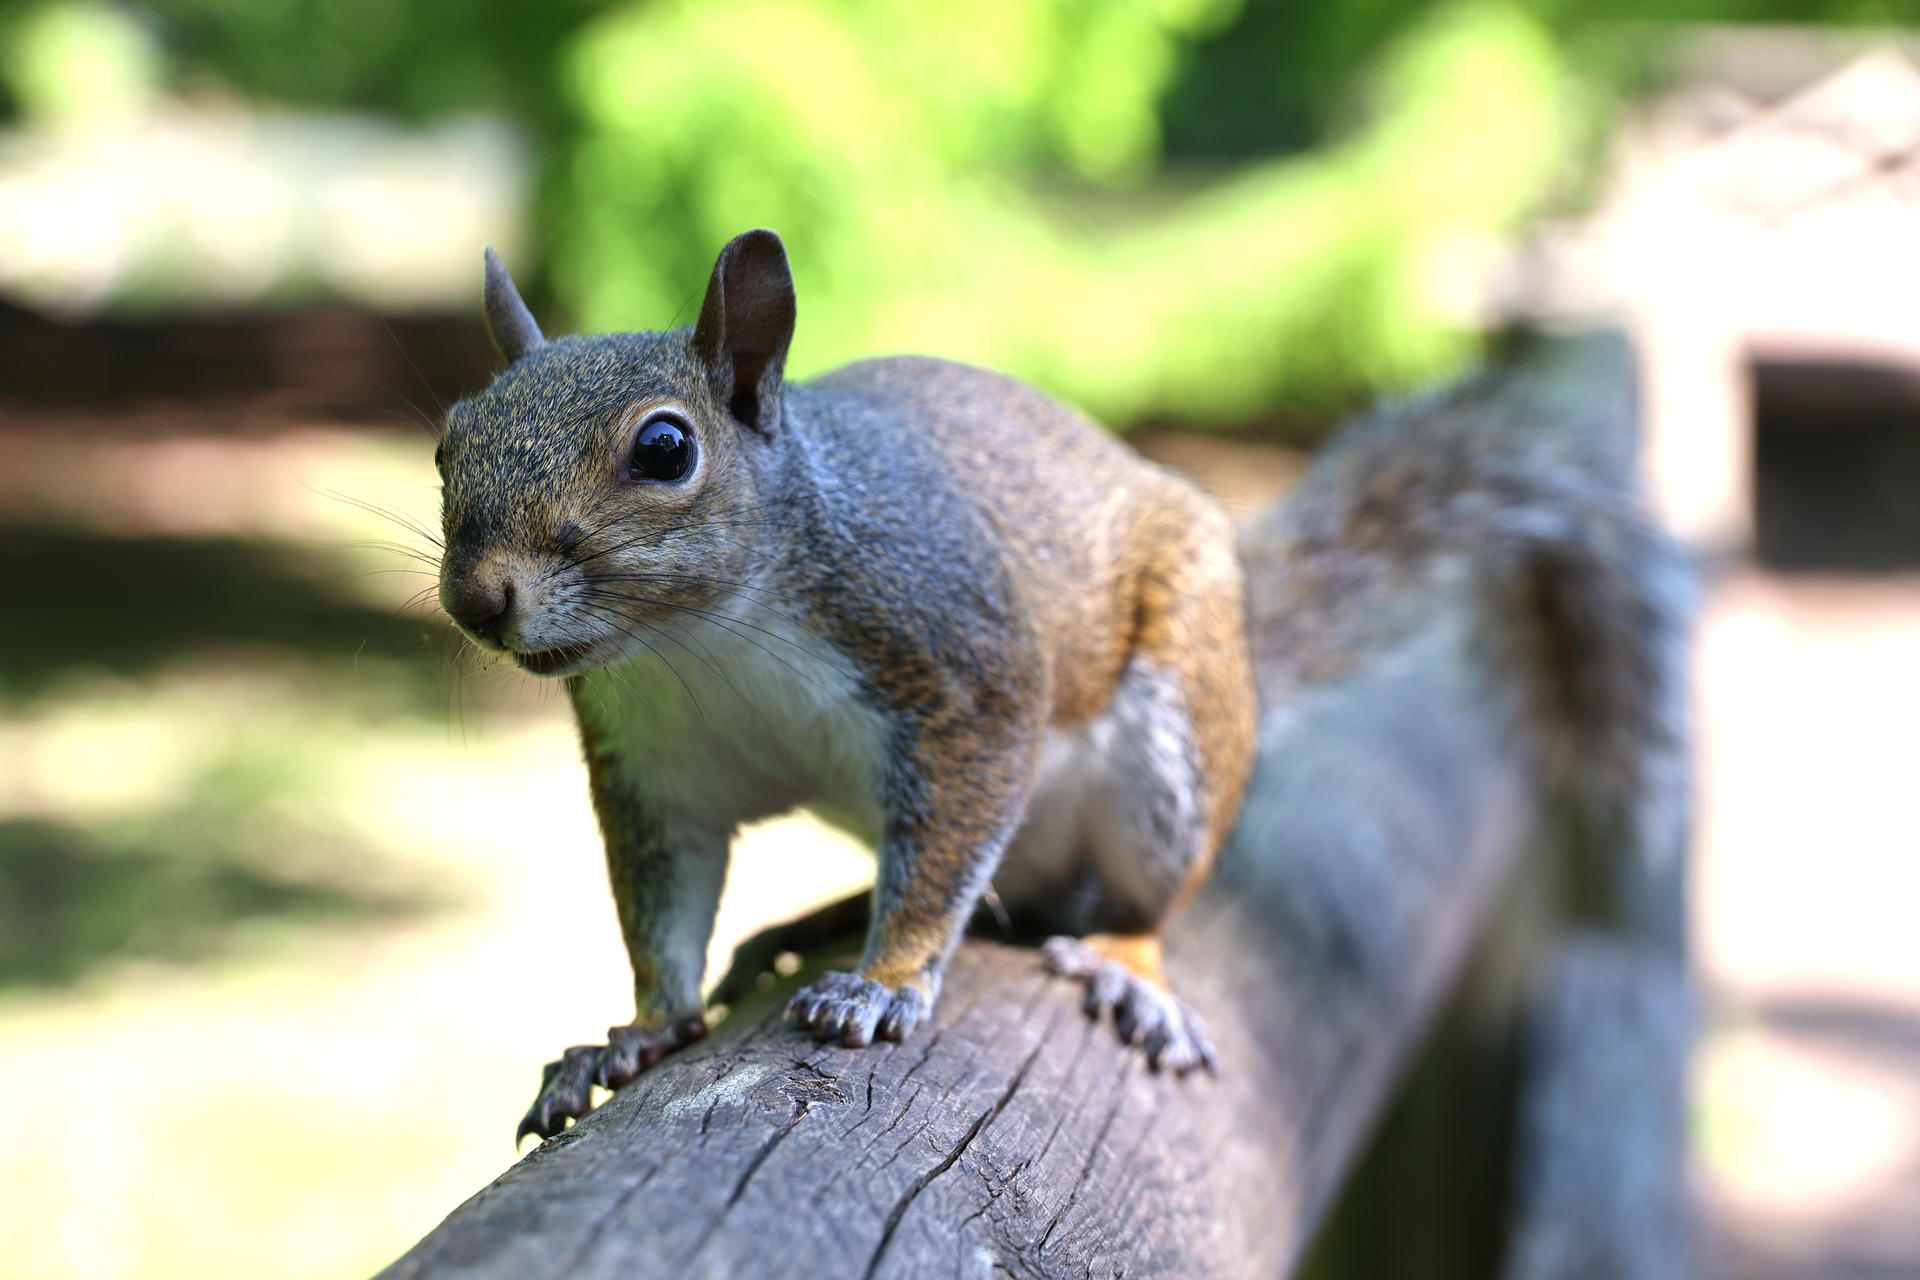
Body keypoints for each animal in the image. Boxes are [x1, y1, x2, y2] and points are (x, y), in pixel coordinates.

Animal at [436, 231, 1259, 1143]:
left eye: (665, 448)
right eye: (446, 447)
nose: (474, 599)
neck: (706, 636)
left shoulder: (966, 674)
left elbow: (945, 853)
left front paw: (882, 982)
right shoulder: (657, 771)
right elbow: (664, 909)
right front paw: (646, 1031)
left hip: (1177, 741)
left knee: (1146, 897)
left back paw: (1127, 964)